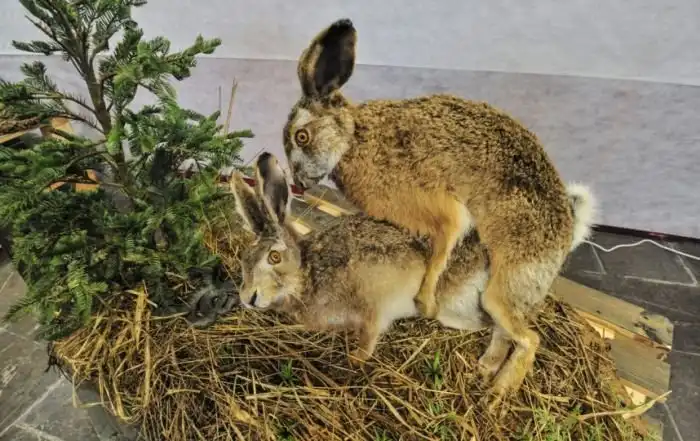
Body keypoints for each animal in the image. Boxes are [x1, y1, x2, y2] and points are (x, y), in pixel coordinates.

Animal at [230, 152, 595, 370]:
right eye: (244, 260)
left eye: (274, 257)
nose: (247, 297)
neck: (309, 271)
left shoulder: (376, 303)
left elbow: (370, 334)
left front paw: (355, 358)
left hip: (486, 297)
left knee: (514, 334)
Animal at [281, 19, 598, 395]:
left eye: (301, 137)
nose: (296, 184)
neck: (353, 139)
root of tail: (567, 233)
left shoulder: (435, 207)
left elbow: (444, 242)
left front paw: (425, 302)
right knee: (506, 334)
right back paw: (485, 370)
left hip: (503, 286)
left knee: (529, 339)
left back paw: (498, 391)